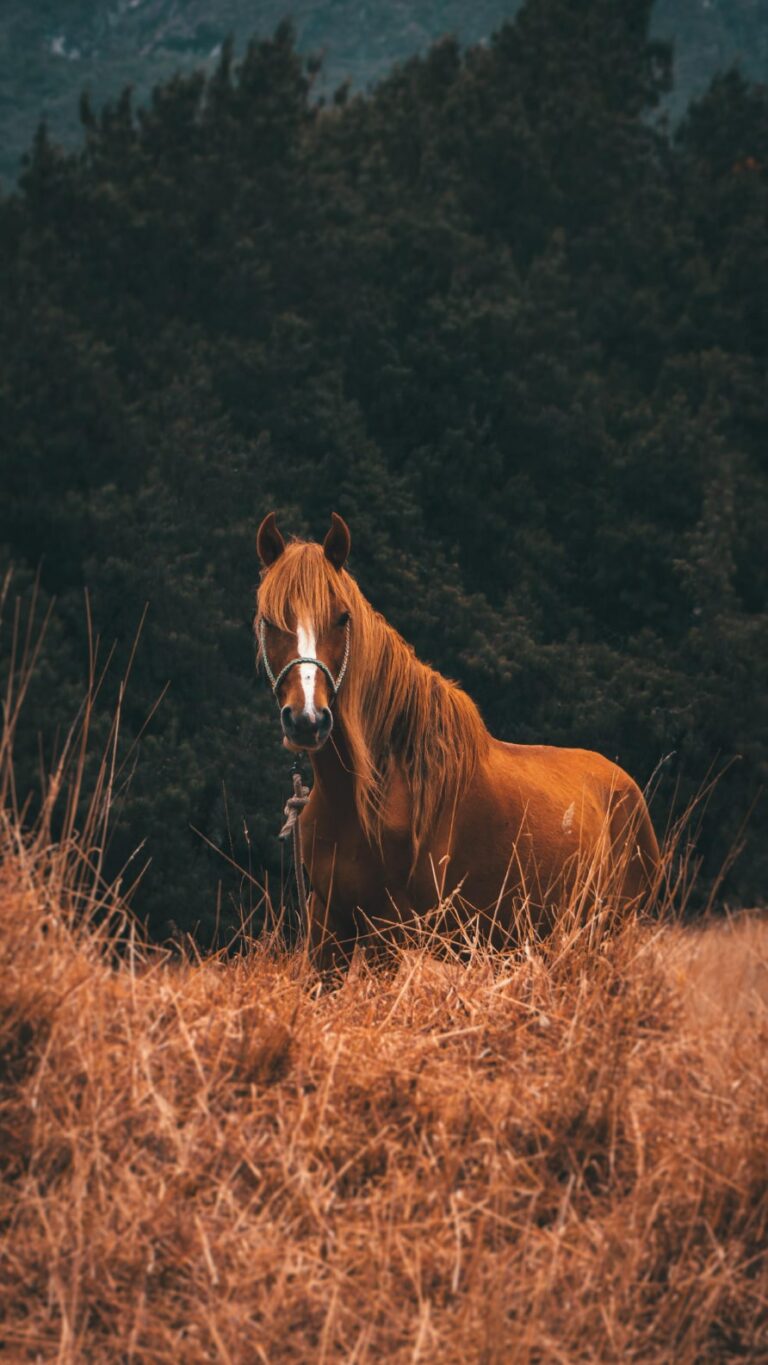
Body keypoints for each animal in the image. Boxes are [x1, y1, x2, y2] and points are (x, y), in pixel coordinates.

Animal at [255, 512, 660, 965]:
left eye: (342, 617)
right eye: (268, 621)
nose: (307, 720)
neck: (372, 793)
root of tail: (629, 789)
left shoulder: (391, 934)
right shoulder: (327, 929)